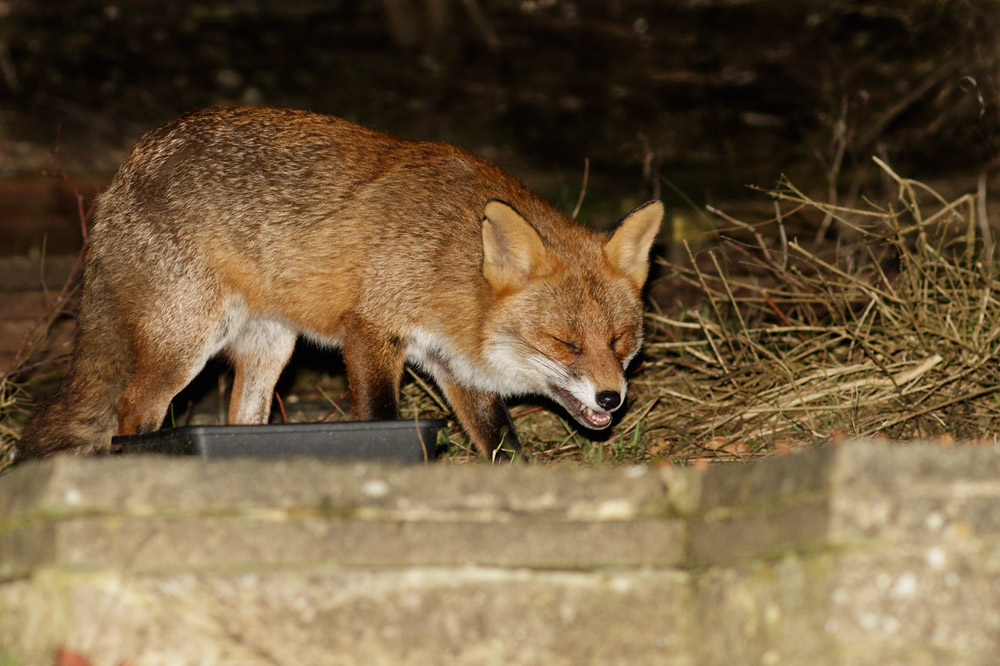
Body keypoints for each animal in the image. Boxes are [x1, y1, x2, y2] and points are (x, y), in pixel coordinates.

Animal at [18, 107, 662, 462]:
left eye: (621, 341)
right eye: (565, 344)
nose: (613, 398)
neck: (445, 261)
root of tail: (126, 170)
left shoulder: (453, 364)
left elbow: (501, 442)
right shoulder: (371, 329)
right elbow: (380, 415)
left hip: (271, 348)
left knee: (242, 420)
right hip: (185, 344)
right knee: (131, 409)